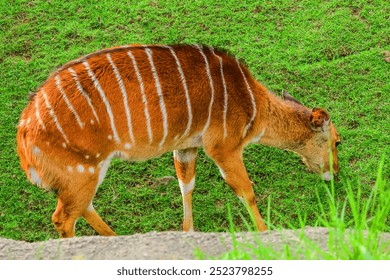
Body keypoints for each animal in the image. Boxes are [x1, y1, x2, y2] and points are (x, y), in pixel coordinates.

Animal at [16, 44, 340, 237]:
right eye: (338, 141)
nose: (334, 172)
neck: (251, 104)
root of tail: (23, 137)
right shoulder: (224, 146)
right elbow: (245, 190)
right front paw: (265, 233)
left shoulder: (186, 145)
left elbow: (186, 184)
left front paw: (188, 233)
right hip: (83, 171)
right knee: (63, 217)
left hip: (81, 177)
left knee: (80, 207)